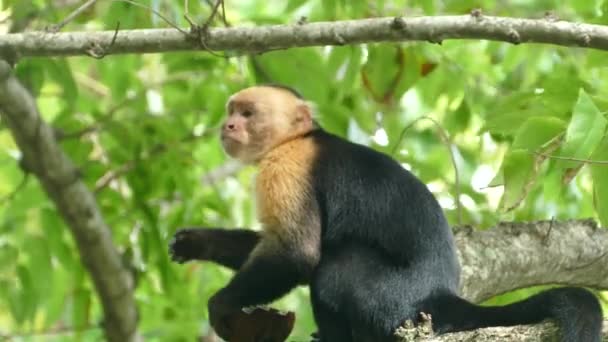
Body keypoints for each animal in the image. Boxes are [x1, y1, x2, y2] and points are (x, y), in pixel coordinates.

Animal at [169, 83, 600, 342]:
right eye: (232, 110)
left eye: (247, 113)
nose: (227, 126)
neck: (297, 138)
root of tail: (439, 294)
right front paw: (197, 243)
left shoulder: (288, 166)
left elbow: (297, 254)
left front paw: (221, 305)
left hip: (394, 300)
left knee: (335, 268)